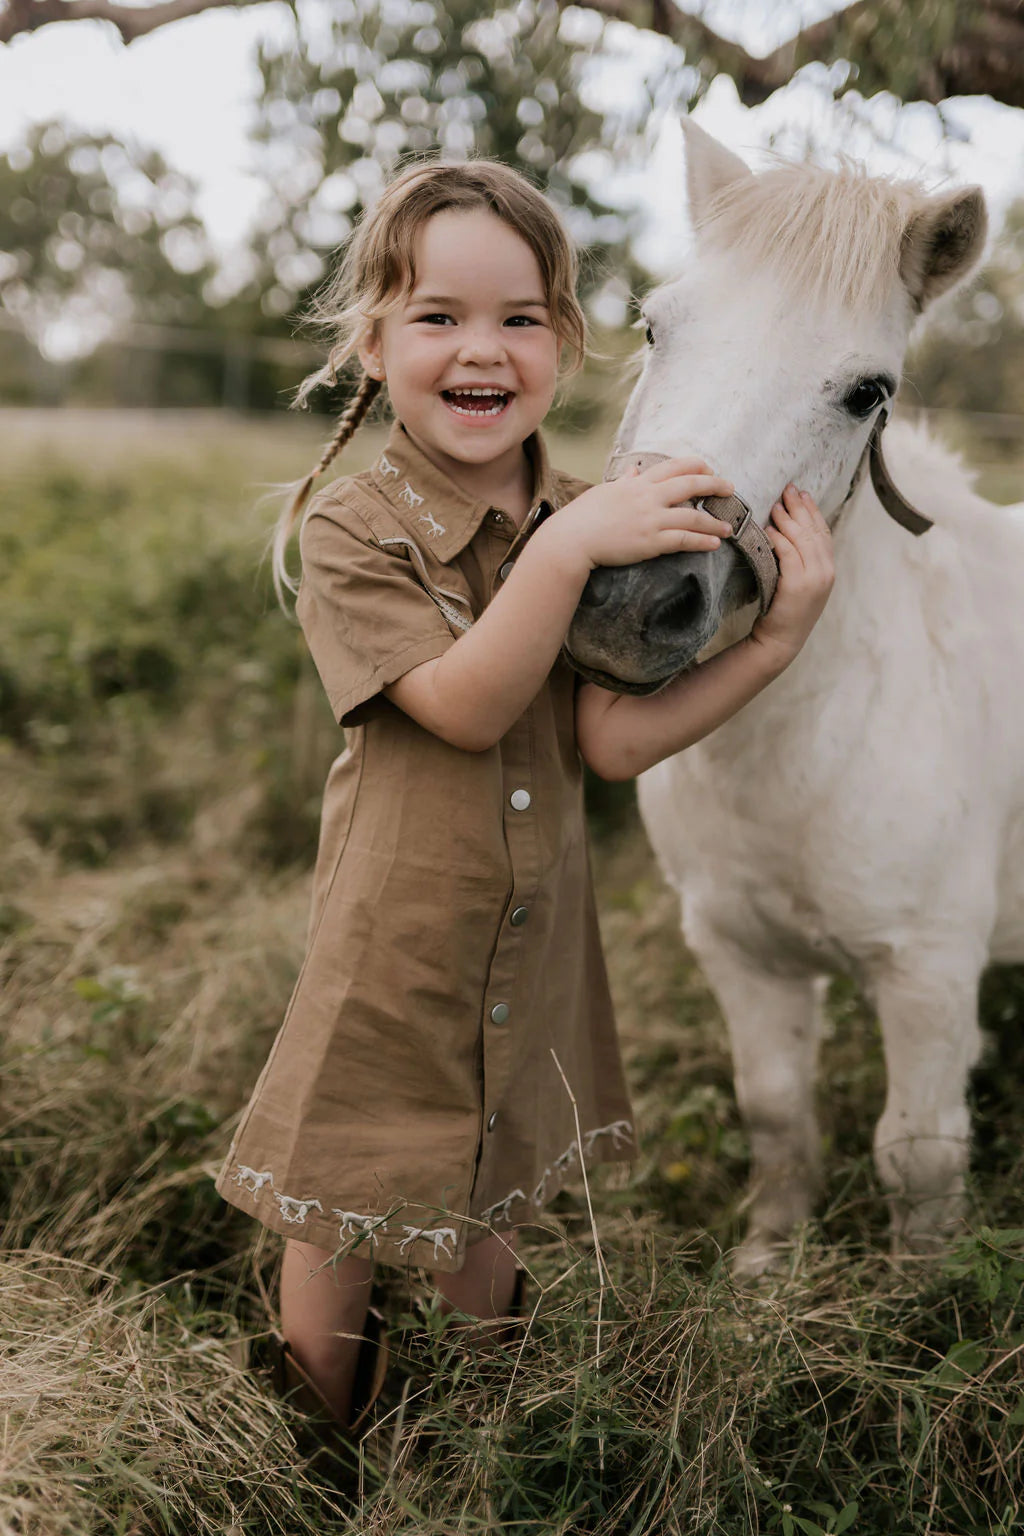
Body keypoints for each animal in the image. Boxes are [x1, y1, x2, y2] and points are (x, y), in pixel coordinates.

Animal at [566, 119, 1024, 1276]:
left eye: (867, 392)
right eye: (654, 326)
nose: (626, 602)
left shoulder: (928, 974)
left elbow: (917, 1155)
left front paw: (919, 1299)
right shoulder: (739, 952)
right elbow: (775, 1113)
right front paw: (768, 1271)